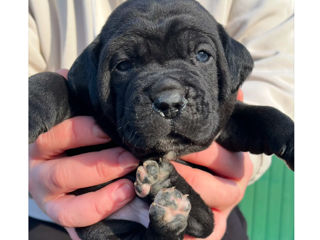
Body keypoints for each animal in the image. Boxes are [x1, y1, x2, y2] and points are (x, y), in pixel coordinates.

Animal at [28, 0, 294, 239]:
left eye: (202, 55)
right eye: (123, 65)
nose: (169, 102)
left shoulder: (221, 119)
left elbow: (260, 115)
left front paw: (291, 139)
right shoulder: (83, 100)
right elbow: (54, 81)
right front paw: (31, 107)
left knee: (203, 222)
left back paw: (166, 193)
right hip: (103, 230)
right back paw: (165, 199)